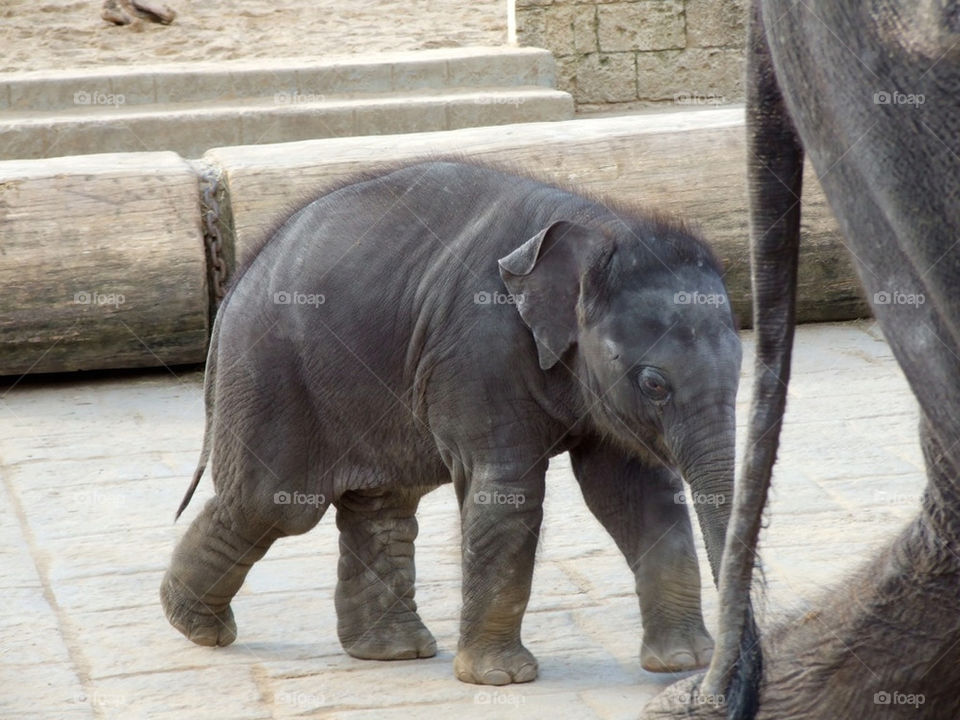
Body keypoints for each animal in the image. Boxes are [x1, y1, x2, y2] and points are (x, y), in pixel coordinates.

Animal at [159, 162, 744, 688]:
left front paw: (680, 662)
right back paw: (200, 629)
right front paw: (500, 679)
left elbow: (633, 492)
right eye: (654, 384)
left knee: (383, 503)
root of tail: (239, 277)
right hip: (269, 376)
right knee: (272, 505)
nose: (725, 669)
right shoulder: (478, 352)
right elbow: (508, 494)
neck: (599, 226)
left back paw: (393, 652)